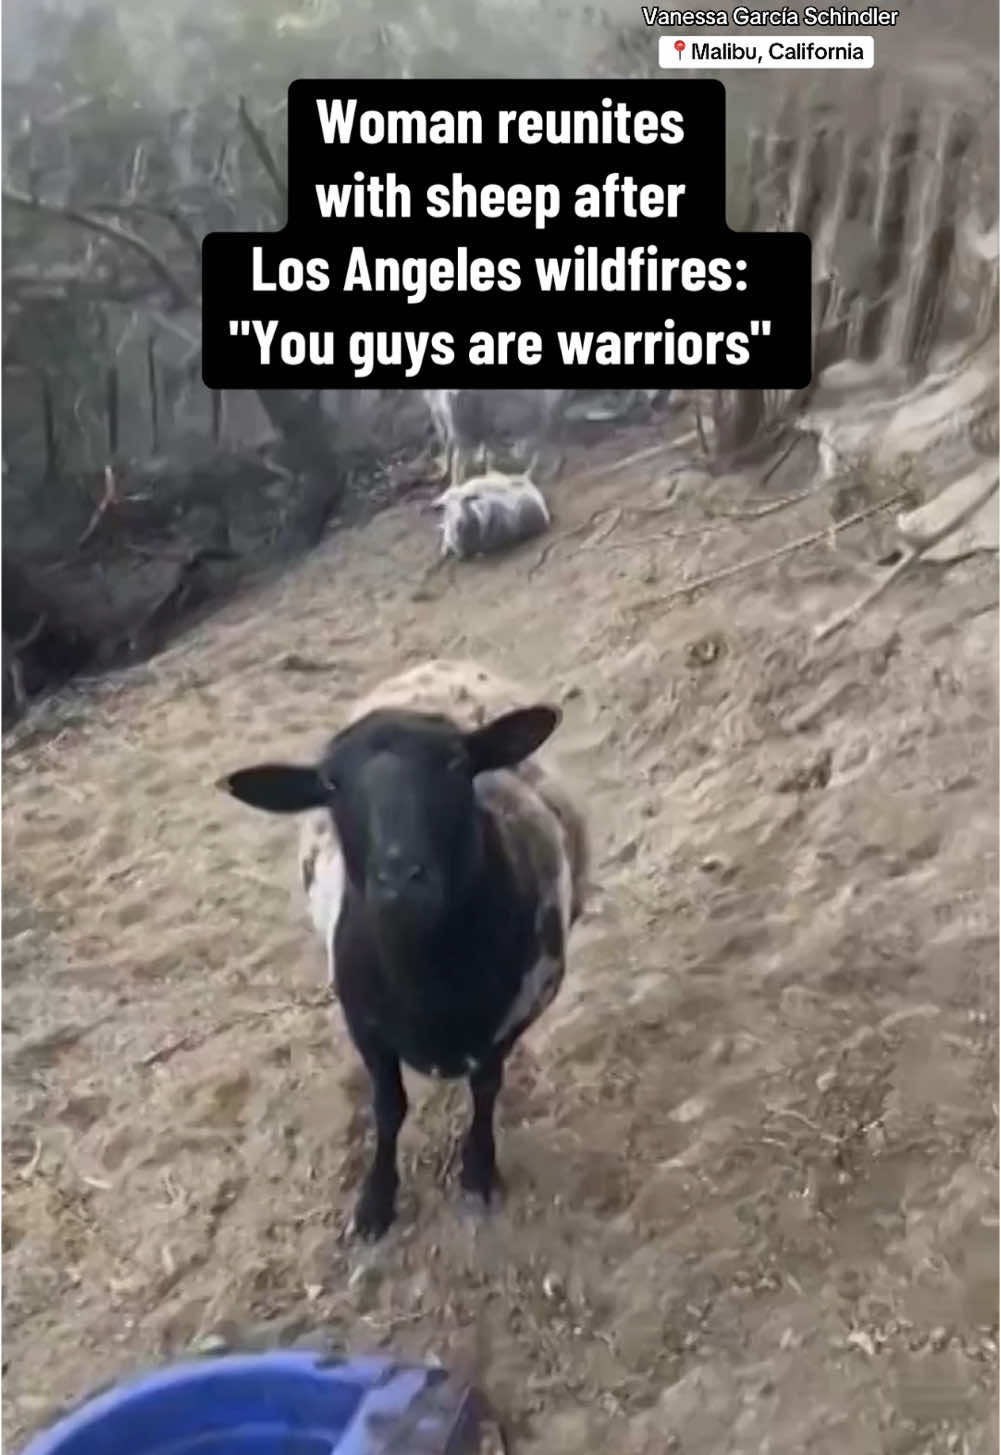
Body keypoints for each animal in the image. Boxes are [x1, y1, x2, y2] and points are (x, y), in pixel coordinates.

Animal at [218, 660, 587, 1239]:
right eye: (330, 783)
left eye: (457, 761)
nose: (400, 879)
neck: (430, 978)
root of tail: (433, 664)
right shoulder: (364, 1024)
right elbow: (389, 1107)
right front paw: (375, 1201)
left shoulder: (511, 1019)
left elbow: (486, 1089)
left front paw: (477, 1170)